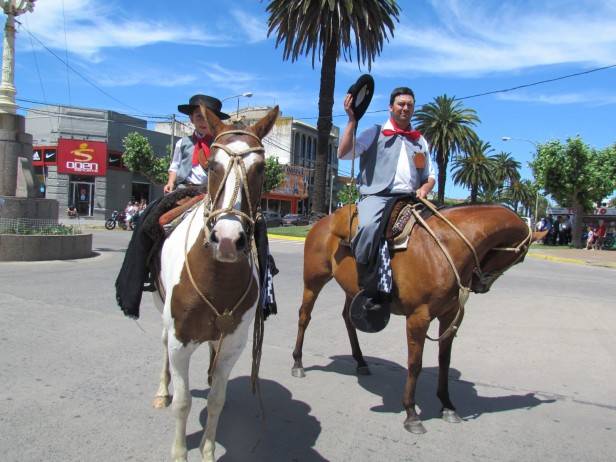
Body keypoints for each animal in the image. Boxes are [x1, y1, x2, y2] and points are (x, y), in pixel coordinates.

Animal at [152, 105, 280, 462]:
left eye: (261, 168)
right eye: (212, 165)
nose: (227, 239)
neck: (216, 276)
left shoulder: (233, 344)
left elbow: (216, 401)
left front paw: (208, 451)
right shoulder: (180, 341)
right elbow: (183, 403)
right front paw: (180, 453)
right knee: (162, 345)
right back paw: (162, 391)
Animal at [292, 201, 540, 434]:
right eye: (520, 257)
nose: (481, 285)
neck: (445, 246)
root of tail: (323, 221)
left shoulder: (451, 316)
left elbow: (444, 360)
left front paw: (447, 405)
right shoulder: (418, 318)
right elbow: (415, 363)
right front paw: (411, 413)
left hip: (351, 289)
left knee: (347, 317)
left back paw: (360, 362)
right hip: (313, 280)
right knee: (305, 316)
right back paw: (298, 362)